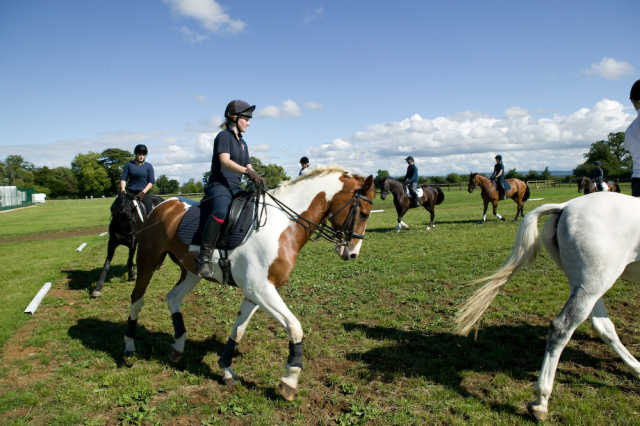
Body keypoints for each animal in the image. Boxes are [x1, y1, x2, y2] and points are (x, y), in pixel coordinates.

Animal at [122, 168, 378, 402]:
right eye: (364, 213)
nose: (352, 253)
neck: (283, 225)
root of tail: (163, 205)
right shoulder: (261, 289)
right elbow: (294, 327)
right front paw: (290, 380)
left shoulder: (256, 292)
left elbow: (239, 329)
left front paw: (226, 369)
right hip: (147, 261)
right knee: (137, 298)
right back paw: (129, 348)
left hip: (192, 272)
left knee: (173, 297)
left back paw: (178, 346)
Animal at [458, 191, 640, 422]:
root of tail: (565, 206)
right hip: (593, 284)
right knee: (562, 328)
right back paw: (540, 402)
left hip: (586, 284)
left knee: (603, 326)